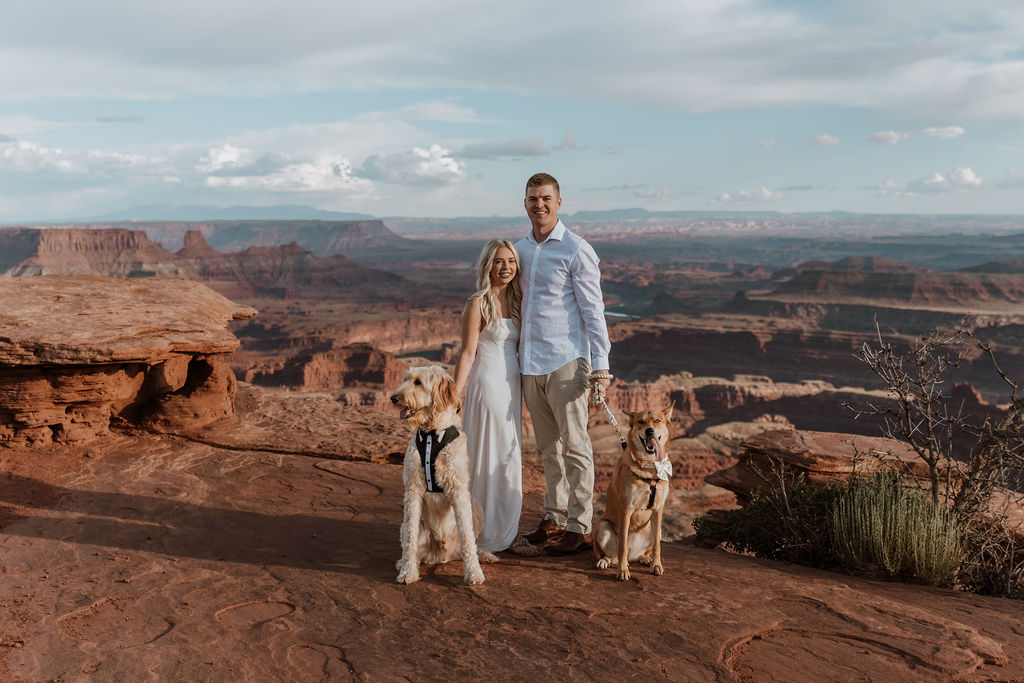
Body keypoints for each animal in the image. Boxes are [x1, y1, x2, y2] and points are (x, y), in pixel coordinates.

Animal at [387, 366, 495, 585]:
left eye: (418, 382)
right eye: (405, 379)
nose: (393, 398)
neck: (432, 434)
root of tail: (441, 556)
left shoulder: (459, 490)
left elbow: (467, 537)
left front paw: (474, 572)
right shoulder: (412, 490)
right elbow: (410, 537)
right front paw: (408, 572)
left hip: (476, 505)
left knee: (469, 543)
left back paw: (481, 555)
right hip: (407, 525)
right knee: (410, 539)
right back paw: (404, 563)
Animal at [593, 403, 671, 581]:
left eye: (657, 420)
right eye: (640, 421)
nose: (649, 431)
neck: (649, 469)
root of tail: (632, 555)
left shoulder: (658, 509)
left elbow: (657, 545)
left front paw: (656, 565)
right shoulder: (626, 508)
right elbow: (622, 545)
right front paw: (622, 571)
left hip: (653, 529)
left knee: (644, 551)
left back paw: (645, 559)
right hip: (603, 526)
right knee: (612, 555)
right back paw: (605, 562)